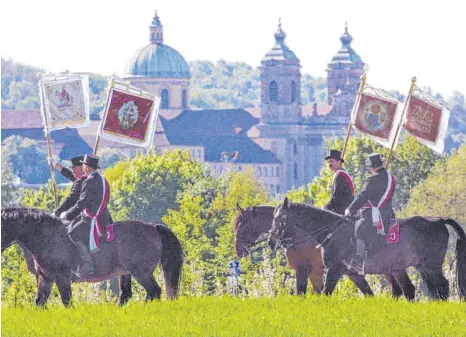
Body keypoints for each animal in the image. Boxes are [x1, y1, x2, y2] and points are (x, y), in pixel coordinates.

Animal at [1, 206, 184, 306]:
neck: (45, 236)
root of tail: (153, 227)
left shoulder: (62, 277)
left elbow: (66, 300)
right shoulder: (45, 278)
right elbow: (39, 302)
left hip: (142, 273)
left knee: (154, 291)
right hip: (126, 273)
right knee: (127, 294)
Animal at [268, 197, 466, 300]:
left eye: (278, 219)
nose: (271, 241)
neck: (333, 231)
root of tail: (438, 220)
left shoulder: (333, 270)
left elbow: (325, 293)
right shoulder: (353, 274)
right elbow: (368, 293)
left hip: (430, 266)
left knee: (441, 286)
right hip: (415, 268)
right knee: (420, 290)